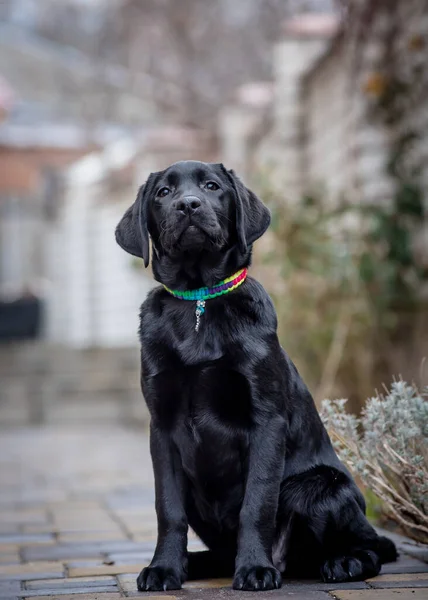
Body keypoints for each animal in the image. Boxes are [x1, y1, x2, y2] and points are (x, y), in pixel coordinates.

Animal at [115, 158, 396, 592]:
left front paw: (254, 569)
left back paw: (342, 562)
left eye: (212, 187)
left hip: (318, 487)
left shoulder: (267, 419)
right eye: (163, 193)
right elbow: (168, 508)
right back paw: (194, 564)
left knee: (370, 546)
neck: (198, 302)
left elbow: (257, 503)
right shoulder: (161, 425)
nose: (188, 205)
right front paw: (163, 569)